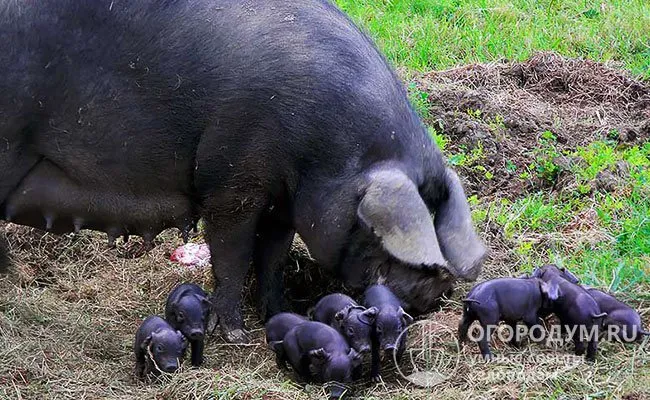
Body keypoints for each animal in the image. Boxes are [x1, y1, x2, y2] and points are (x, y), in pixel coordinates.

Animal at [0, 0, 486, 344]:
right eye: (376, 232)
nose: (435, 291)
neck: (326, 150)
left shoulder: (283, 204)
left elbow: (272, 257)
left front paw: (280, 313)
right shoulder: (232, 181)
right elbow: (231, 254)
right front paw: (234, 335)